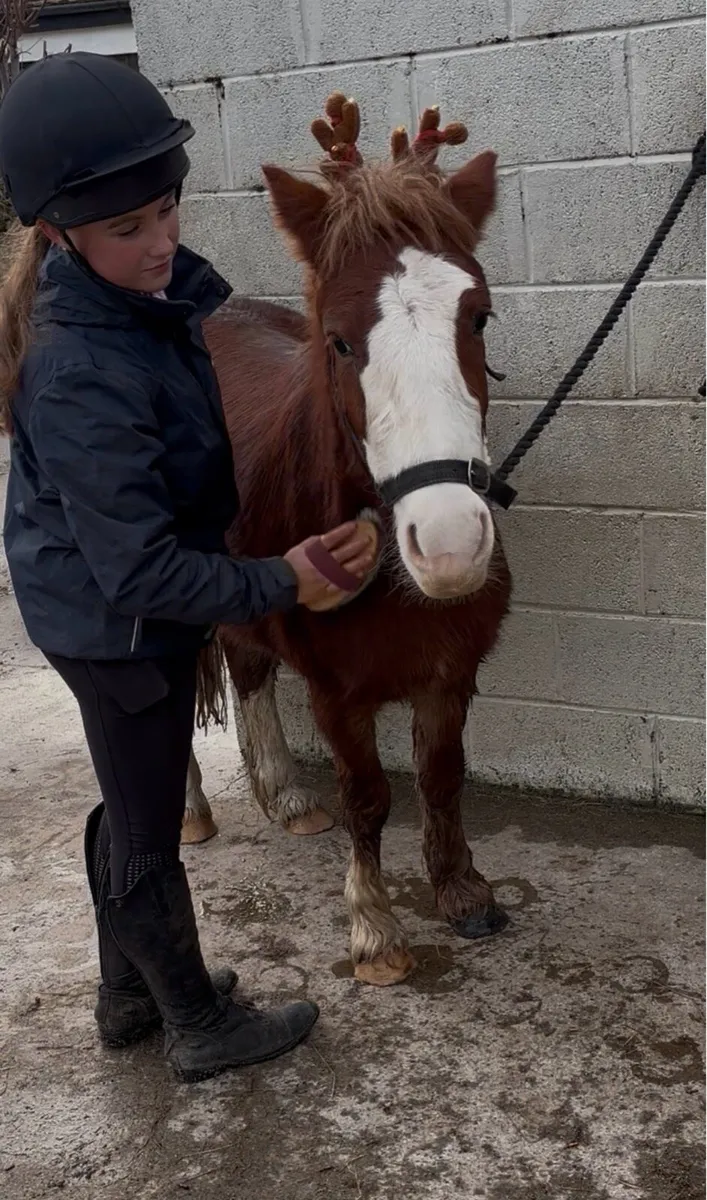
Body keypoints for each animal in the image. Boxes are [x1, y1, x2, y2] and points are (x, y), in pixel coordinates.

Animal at [184, 94, 512, 986]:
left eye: (478, 316)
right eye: (336, 339)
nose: (448, 544)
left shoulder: (448, 672)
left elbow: (441, 776)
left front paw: (459, 889)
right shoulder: (337, 693)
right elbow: (370, 796)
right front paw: (374, 930)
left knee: (248, 668)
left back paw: (287, 797)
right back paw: (190, 812)